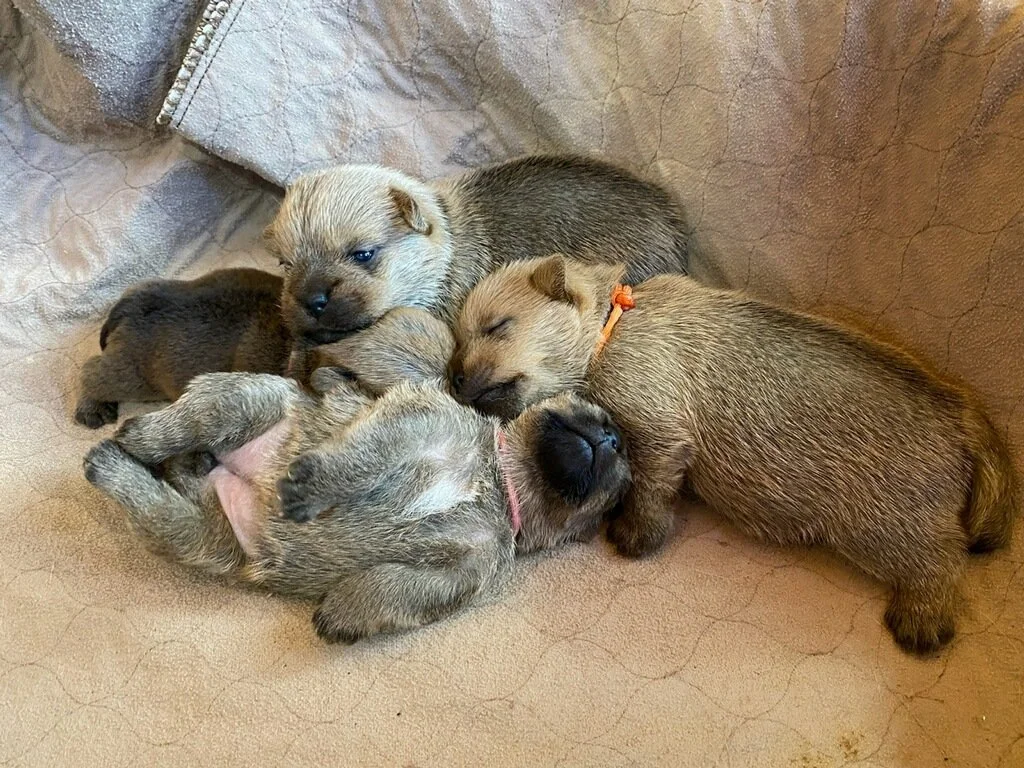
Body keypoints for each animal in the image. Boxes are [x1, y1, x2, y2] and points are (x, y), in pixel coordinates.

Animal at [83, 373, 630, 643]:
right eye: (601, 419)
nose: (613, 438)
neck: (495, 481)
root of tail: (223, 471)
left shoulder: (464, 569)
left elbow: (400, 590)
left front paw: (342, 612)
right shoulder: (417, 423)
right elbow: (363, 459)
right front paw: (313, 487)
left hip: (197, 534)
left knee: (159, 501)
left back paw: (143, 465)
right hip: (245, 397)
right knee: (179, 425)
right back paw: (132, 441)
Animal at [448, 254, 1018, 654]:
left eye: (497, 325)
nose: (454, 381)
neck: (612, 327)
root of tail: (963, 411)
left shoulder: (658, 427)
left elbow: (649, 487)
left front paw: (634, 535)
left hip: (886, 523)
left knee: (943, 559)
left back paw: (922, 621)